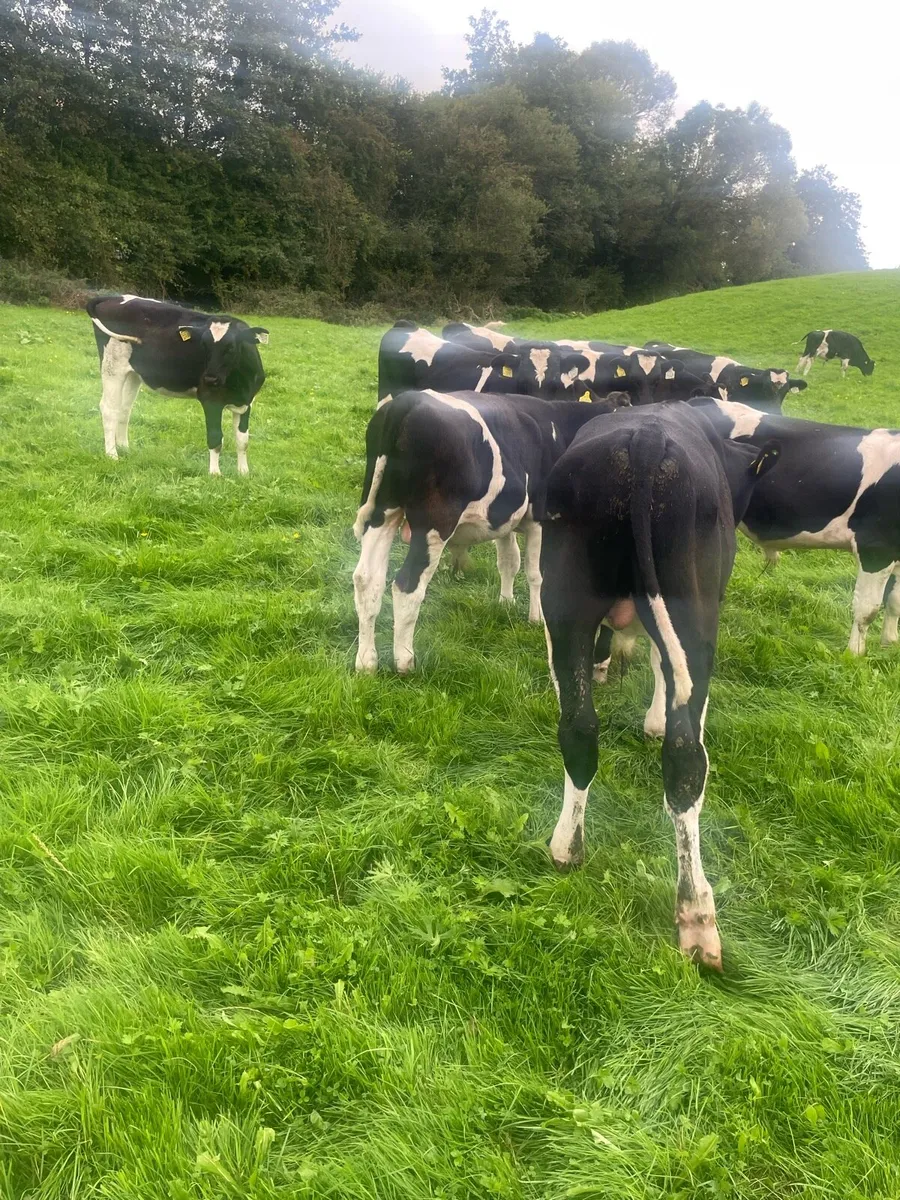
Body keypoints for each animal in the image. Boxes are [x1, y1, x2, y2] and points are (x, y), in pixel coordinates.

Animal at [86, 295, 268, 475]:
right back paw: (112, 455)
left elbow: (242, 440)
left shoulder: (247, 402)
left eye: (231, 347)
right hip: (112, 365)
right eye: (204, 345)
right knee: (109, 409)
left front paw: (243, 473)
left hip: (132, 374)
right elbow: (215, 438)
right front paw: (215, 474)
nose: (210, 379)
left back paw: (125, 449)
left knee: (124, 409)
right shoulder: (210, 399)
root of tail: (115, 297)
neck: (240, 383)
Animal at [352, 389, 628, 674]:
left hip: (382, 512)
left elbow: (508, 562)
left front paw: (505, 603)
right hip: (433, 523)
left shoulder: (505, 519)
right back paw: (405, 660)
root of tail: (408, 400)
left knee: (367, 580)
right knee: (407, 585)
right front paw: (536, 617)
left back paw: (366, 662)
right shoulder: (540, 518)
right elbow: (536, 573)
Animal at [540, 403, 780, 971]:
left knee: (578, 729)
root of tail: (645, 439)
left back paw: (566, 847)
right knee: (686, 755)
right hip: (695, 614)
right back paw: (697, 917)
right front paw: (651, 719)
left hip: (564, 601)